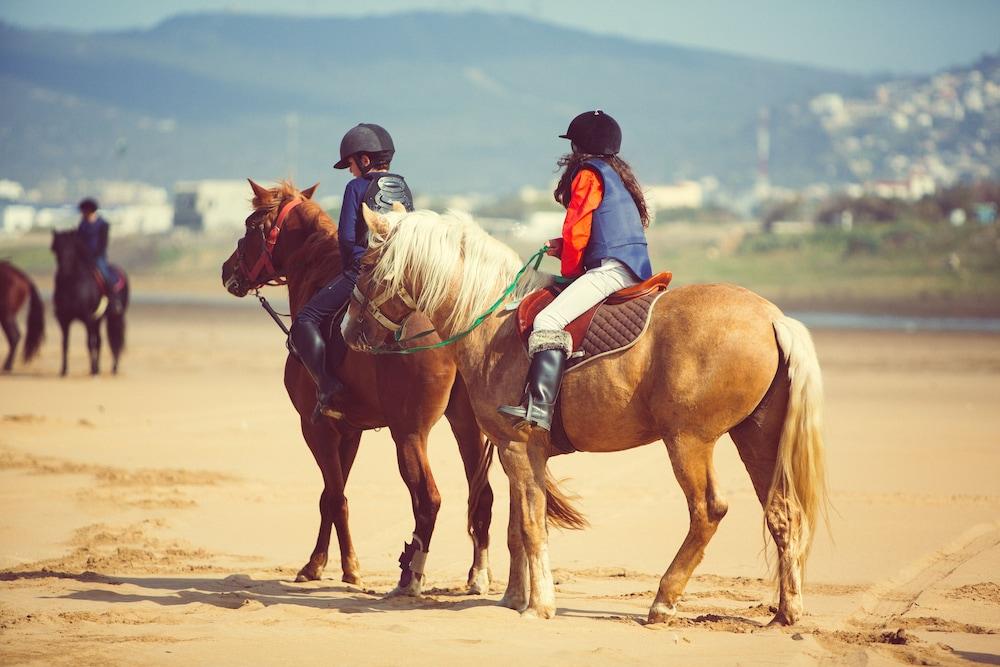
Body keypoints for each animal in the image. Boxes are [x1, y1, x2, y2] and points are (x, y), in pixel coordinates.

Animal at [50, 230, 130, 376]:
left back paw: (113, 368)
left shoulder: (87, 318)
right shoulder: (64, 320)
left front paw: (92, 370)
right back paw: (99, 368)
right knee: (100, 341)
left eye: (71, 248)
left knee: (114, 339)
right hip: (98, 319)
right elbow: (65, 344)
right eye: (56, 248)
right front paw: (63, 370)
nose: (64, 271)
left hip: (115, 316)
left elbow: (89, 343)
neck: (72, 285)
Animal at [220, 181, 500, 596]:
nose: (227, 270)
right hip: (466, 426)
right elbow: (330, 496)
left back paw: (410, 577)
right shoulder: (349, 431)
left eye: (251, 225)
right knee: (481, 495)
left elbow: (335, 497)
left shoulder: (315, 427)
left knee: (427, 499)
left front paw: (342, 568)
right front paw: (322, 563)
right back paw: (477, 575)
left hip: (409, 434)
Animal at [344, 207, 828, 628]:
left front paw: (539, 605)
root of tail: (772, 317)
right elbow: (517, 526)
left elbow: (531, 525)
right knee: (781, 512)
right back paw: (786, 612)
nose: (348, 331)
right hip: (756, 437)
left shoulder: (519, 448)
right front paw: (514, 599)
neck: (493, 321)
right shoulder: (514, 453)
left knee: (707, 511)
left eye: (365, 263)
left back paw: (663, 600)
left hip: (689, 441)